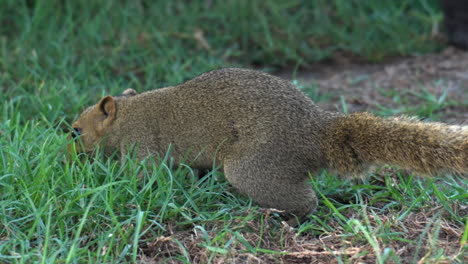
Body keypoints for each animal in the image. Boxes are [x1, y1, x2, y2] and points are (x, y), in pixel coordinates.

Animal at [70, 67, 468, 221]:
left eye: (75, 131)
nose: (70, 153)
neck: (128, 114)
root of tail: (316, 132)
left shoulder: (141, 145)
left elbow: (142, 175)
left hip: (255, 165)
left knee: (304, 200)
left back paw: (275, 213)